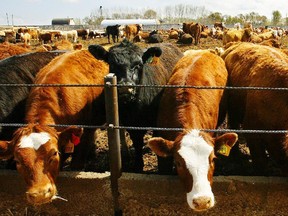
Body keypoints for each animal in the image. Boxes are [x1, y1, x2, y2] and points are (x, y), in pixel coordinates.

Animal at [88, 39, 183, 172]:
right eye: (112, 64)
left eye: (138, 65)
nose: (125, 87)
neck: (136, 109)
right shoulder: (130, 124)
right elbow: (137, 143)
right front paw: (138, 165)